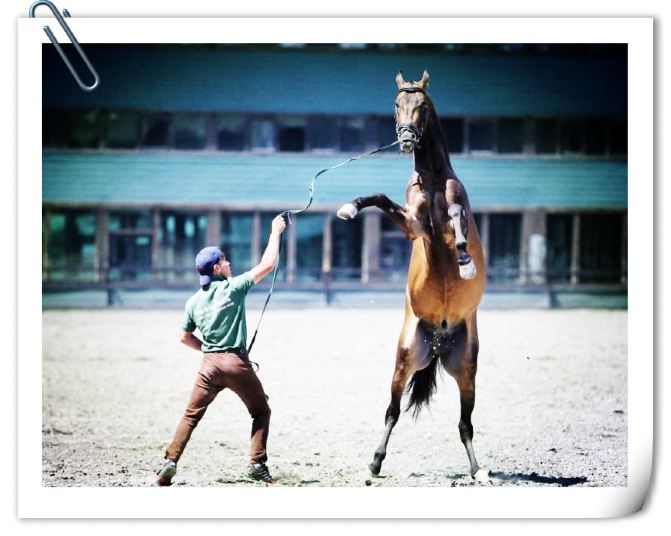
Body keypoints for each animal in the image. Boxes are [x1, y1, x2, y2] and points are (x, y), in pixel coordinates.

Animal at [336, 72, 488, 482]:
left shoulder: (452, 213)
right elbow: (380, 199)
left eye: (421, 105)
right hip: (405, 360)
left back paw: (477, 470)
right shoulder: (414, 225)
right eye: (396, 104)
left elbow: (456, 214)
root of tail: (438, 341)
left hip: (466, 369)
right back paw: (374, 463)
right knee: (392, 411)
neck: (432, 179)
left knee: (465, 423)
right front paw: (349, 208)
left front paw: (465, 260)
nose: (405, 139)